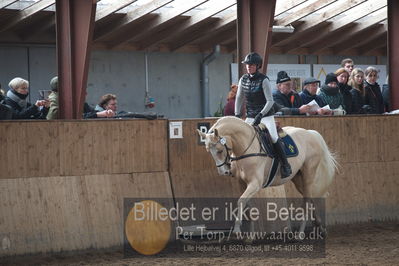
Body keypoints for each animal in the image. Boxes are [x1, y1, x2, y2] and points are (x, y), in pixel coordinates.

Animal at [197, 116, 338, 235]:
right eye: (209, 151)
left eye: (220, 150)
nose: (224, 172)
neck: (245, 148)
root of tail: (311, 133)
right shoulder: (242, 183)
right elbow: (246, 205)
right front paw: (249, 235)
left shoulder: (255, 184)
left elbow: (241, 201)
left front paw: (237, 230)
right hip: (298, 178)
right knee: (310, 198)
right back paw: (319, 227)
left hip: (309, 174)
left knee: (307, 200)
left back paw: (300, 233)